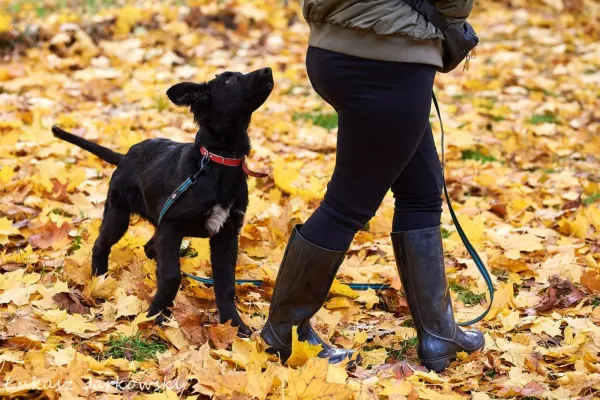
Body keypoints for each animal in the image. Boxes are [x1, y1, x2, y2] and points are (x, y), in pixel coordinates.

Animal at [52, 66, 274, 334]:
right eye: (230, 80)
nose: (268, 70)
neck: (217, 162)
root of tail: (125, 155)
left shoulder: (227, 232)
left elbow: (226, 284)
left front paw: (234, 325)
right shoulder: (172, 225)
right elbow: (171, 276)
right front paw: (154, 315)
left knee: (150, 247)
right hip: (119, 214)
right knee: (101, 243)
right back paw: (98, 278)